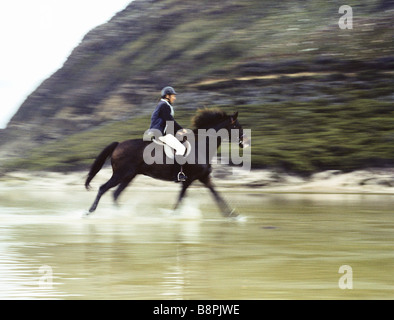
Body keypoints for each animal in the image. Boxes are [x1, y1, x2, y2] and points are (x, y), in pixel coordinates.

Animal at [85, 109, 246, 216]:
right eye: (237, 126)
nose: (244, 143)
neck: (202, 146)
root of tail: (118, 144)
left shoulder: (203, 177)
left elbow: (216, 194)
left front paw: (232, 215)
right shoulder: (190, 179)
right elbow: (180, 199)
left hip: (128, 176)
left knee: (115, 194)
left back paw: (120, 213)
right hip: (120, 174)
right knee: (103, 188)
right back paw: (90, 212)